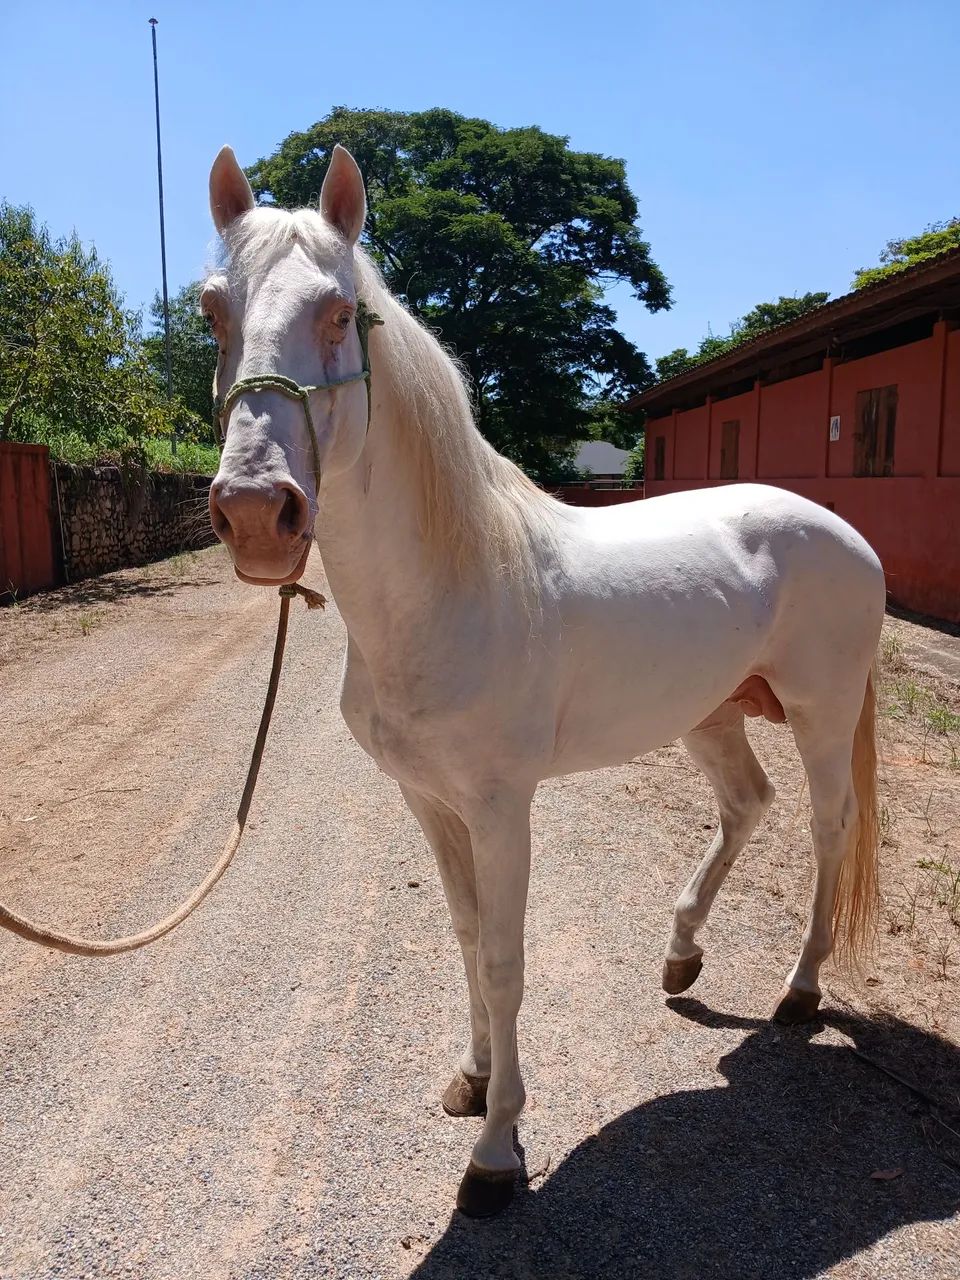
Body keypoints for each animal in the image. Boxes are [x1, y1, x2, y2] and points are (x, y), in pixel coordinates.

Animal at [204, 143, 884, 1217]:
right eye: (210, 311)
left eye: (340, 313)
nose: (255, 514)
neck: (454, 587)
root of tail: (846, 532)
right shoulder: (428, 800)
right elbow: (462, 935)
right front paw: (473, 1080)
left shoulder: (500, 805)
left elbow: (503, 958)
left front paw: (498, 1150)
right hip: (710, 715)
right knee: (747, 804)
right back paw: (682, 956)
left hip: (821, 713)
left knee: (827, 828)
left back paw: (799, 990)